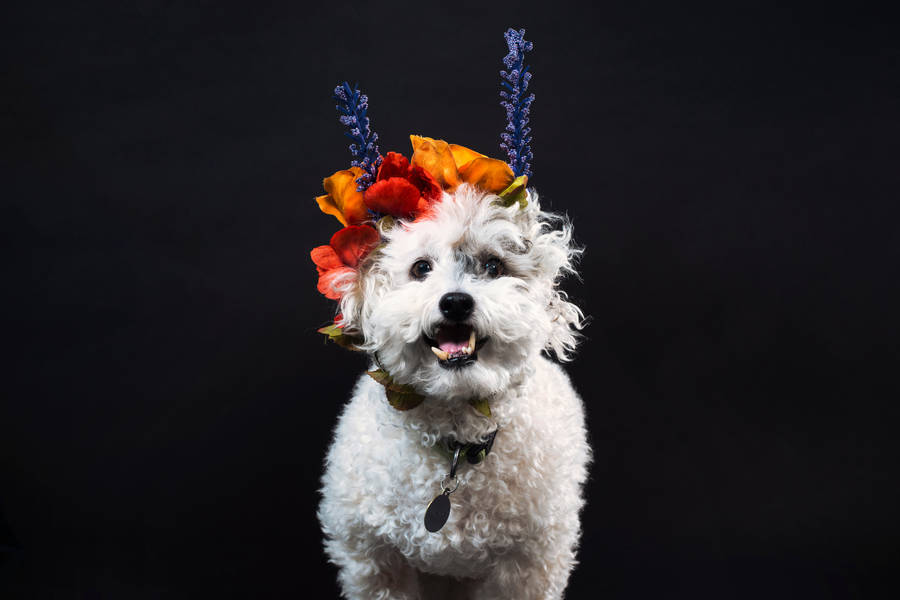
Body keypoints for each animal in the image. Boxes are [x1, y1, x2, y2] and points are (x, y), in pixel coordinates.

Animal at [316, 184, 592, 600]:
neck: (456, 442)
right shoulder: (373, 559)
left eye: (493, 266)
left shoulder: (529, 565)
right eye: (421, 268)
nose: (456, 302)